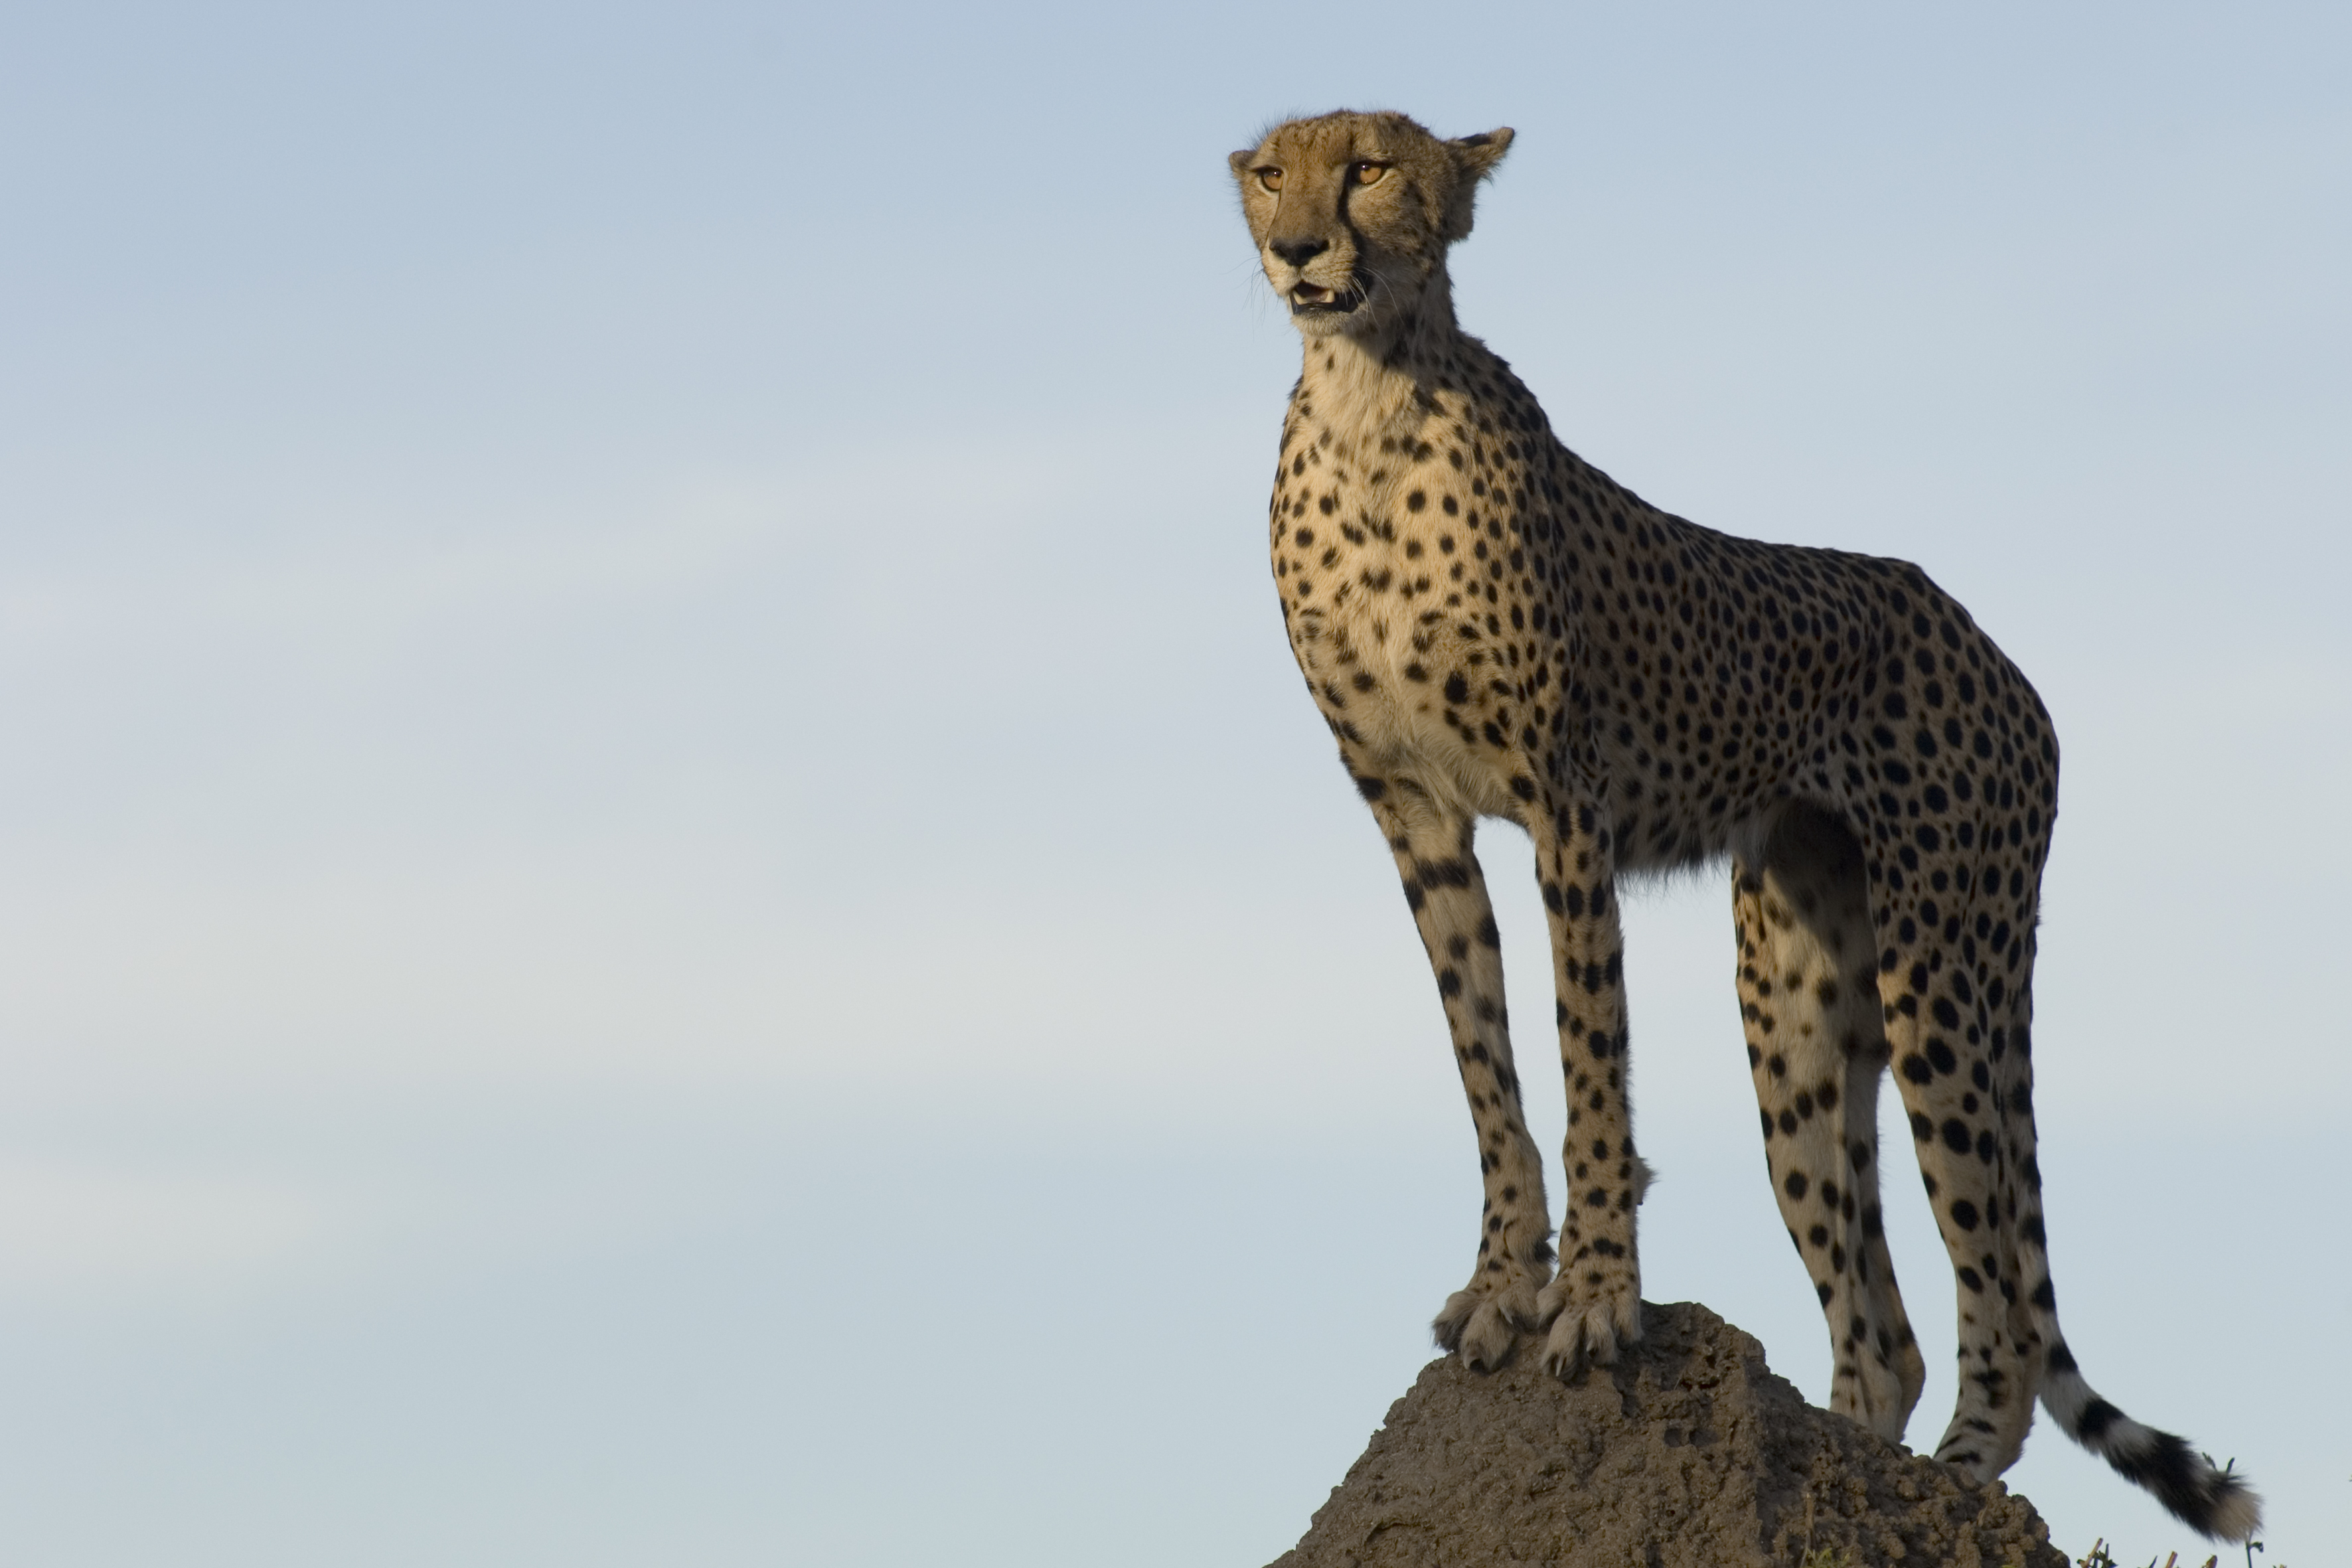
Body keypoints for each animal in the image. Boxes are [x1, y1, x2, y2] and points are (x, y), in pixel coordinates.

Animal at [1229, 108, 2259, 1542]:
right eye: (1272, 173)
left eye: (1370, 169)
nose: (1293, 247)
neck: (1367, 399)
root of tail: (1986, 643)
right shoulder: (1413, 816)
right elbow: (1485, 1064)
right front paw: (1500, 1286)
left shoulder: (1565, 809)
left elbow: (1587, 1060)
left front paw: (1594, 1302)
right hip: (1794, 1015)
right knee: (1880, 1325)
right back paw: (1841, 1453)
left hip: (1943, 970)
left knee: (1995, 1281)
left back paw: (1949, 1477)